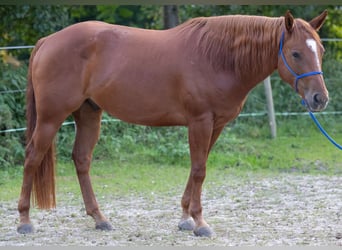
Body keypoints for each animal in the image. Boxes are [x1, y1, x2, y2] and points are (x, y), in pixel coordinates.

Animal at [18, 10, 328, 236]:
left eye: (321, 50)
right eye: (296, 53)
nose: (320, 99)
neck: (217, 57)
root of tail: (47, 41)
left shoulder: (215, 125)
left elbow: (196, 168)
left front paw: (185, 218)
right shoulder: (200, 122)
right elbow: (200, 170)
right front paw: (200, 224)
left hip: (89, 114)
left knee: (81, 160)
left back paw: (100, 219)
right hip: (50, 118)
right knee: (32, 157)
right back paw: (24, 221)